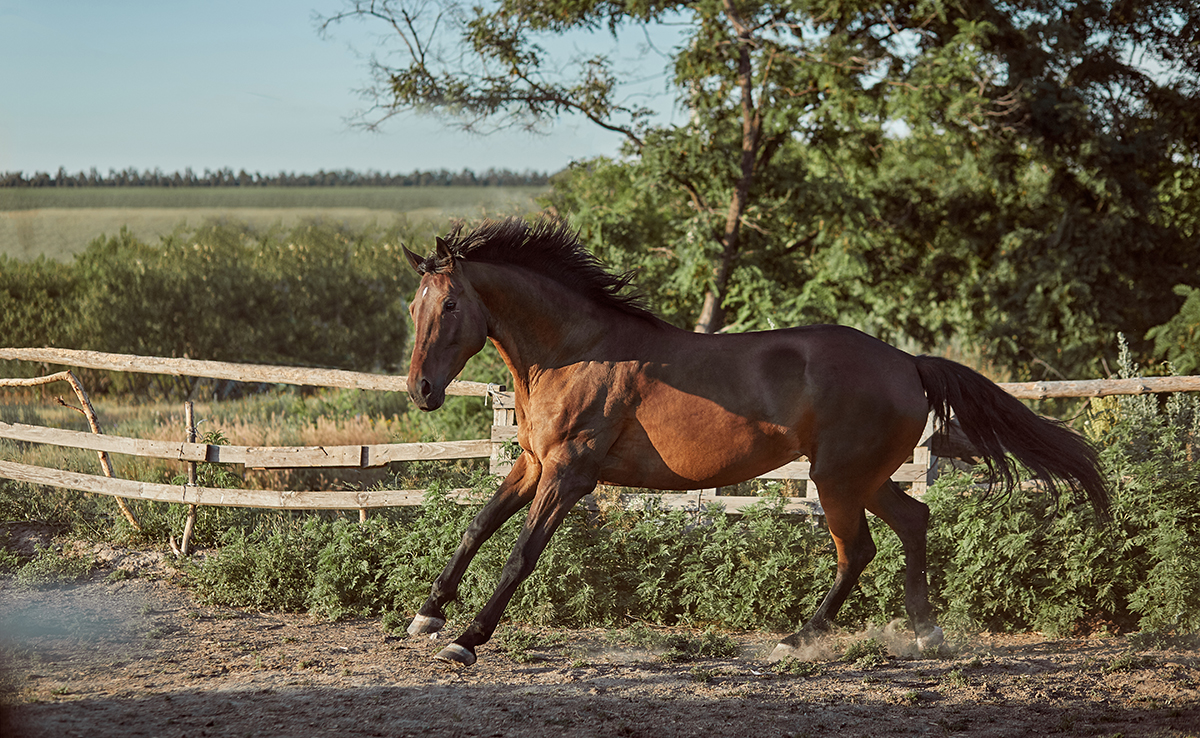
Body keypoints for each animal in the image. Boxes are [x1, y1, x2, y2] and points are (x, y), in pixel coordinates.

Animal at [398, 216, 1108, 667]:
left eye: (451, 305)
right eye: (414, 307)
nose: (421, 391)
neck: (576, 352)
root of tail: (908, 362)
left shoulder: (569, 476)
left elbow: (520, 554)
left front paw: (467, 639)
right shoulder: (531, 464)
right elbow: (477, 527)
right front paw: (427, 616)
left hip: (838, 480)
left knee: (859, 550)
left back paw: (795, 642)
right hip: (864, 478)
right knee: (913, 519)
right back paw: (925, 632)